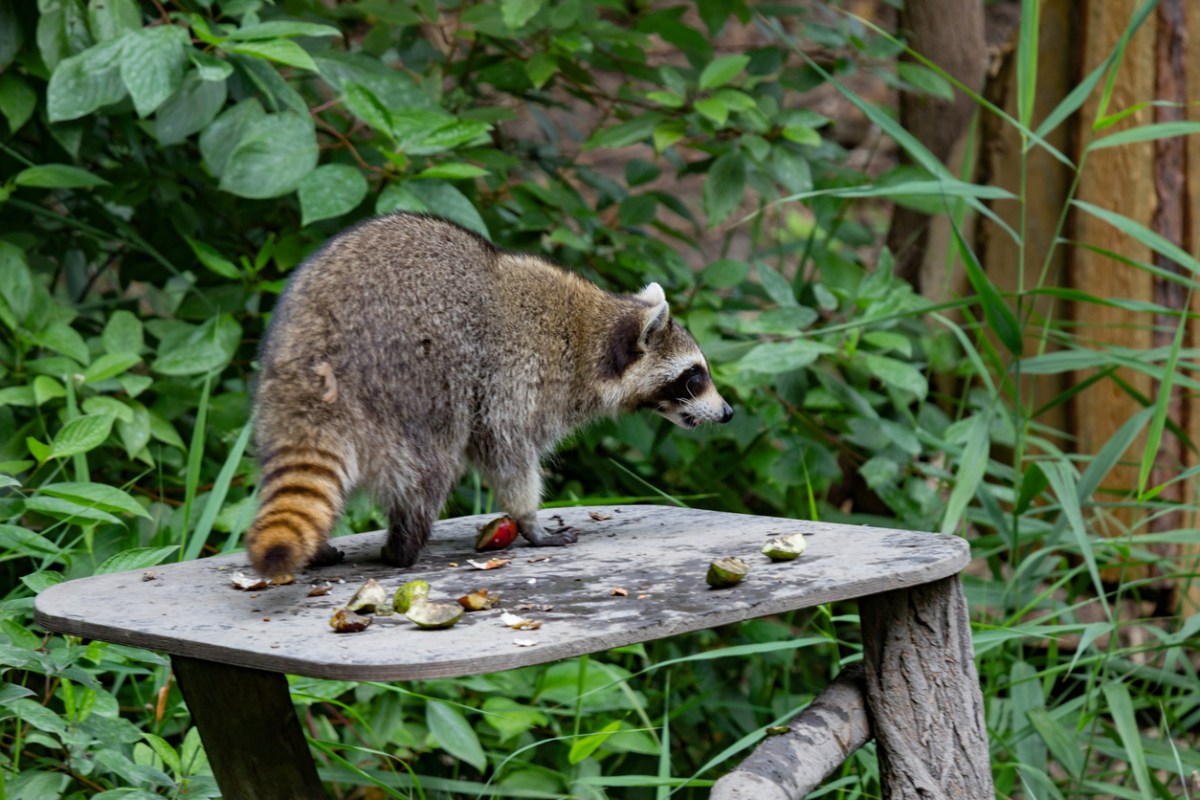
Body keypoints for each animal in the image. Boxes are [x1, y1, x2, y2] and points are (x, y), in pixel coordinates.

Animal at [246, 213, 733, 579]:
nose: (728, 413)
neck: (591, 338)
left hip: (275, 396)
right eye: (693, 377)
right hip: (409, 388)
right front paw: (529, 520)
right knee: (430, 468)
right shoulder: (519, 372)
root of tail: (316, 362)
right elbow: (506, 449)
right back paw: (404, 546)